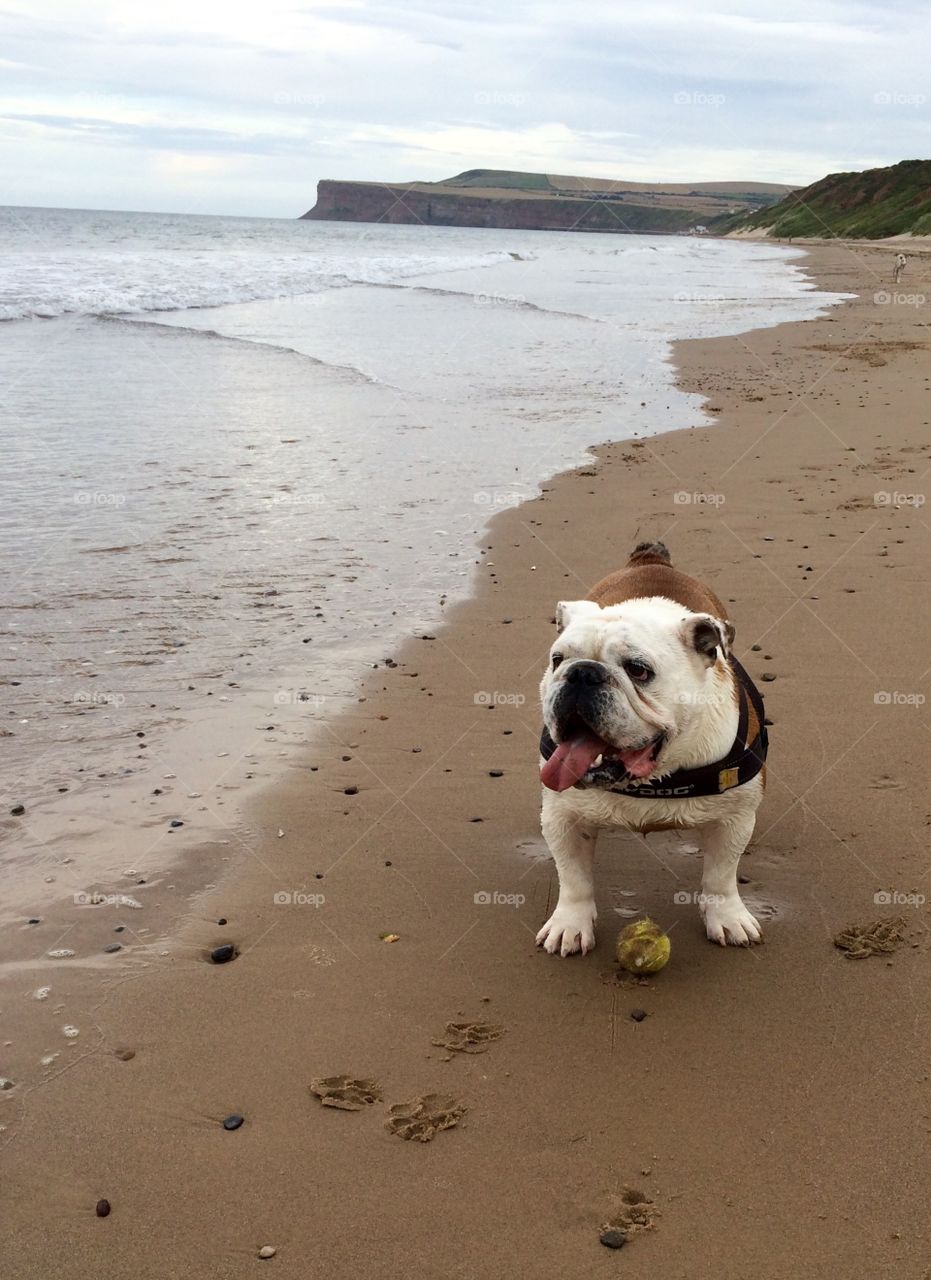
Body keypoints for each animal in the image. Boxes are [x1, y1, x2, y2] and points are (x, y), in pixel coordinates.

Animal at [535, 537, 768, 952]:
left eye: (638, 670)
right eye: (558, 659)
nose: (582, 673)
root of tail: (651, 559)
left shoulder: (734, 819)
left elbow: (721, 876)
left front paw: (728, 918)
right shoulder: (563, 818)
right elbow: (574, 878)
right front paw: (570, 924)